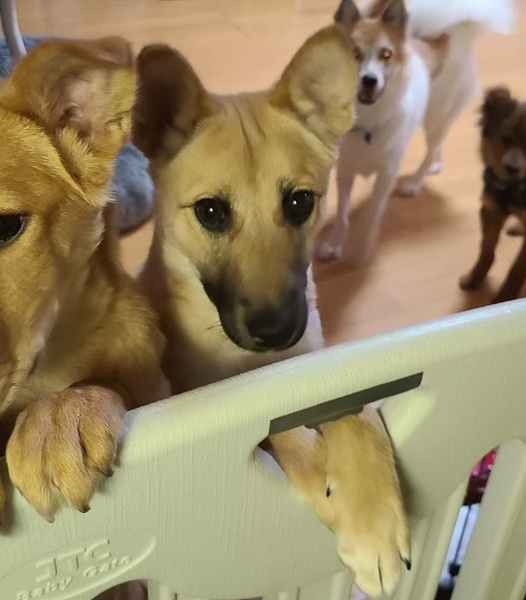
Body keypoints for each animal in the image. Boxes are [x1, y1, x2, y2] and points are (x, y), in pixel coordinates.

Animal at [133, 25, 410, 597]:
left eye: (301, 202)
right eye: (211, 212)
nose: (279, 332)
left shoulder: (321, 366)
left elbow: (358, 409)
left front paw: (373, 518)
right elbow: (280, 428)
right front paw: (325, 482)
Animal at [317, 0, 514, 263]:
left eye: (386, 54)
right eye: (354, 54)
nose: (369, 80)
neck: (369, 117)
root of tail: (455, 36)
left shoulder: (386, 175)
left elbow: (373, 213)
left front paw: (365, 249)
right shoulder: (345, 171)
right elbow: (342, 214)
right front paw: (334, 245)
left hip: (435, 118)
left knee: (431, 149)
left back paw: (415, 182)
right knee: (437, 146)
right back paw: (436, 164)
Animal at [460, 87, 526, 303]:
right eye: (505, 139)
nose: (511, 167)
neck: (513, 188)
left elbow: (516, 270)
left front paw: (504, 298)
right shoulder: (491, 210)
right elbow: (486, 250)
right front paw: (474, 278)